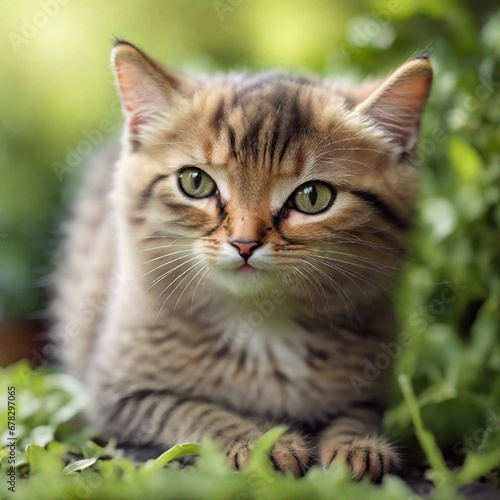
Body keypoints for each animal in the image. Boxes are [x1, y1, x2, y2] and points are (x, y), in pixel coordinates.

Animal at [52, 42, 432, 480]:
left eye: (313, 197)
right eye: (195, 182)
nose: (244, 243)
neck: (260, 324)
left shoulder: (370, 388)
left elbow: (356, 415)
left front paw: (358, 446)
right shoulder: (121, 395)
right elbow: (197, 411)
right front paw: (259, 442)